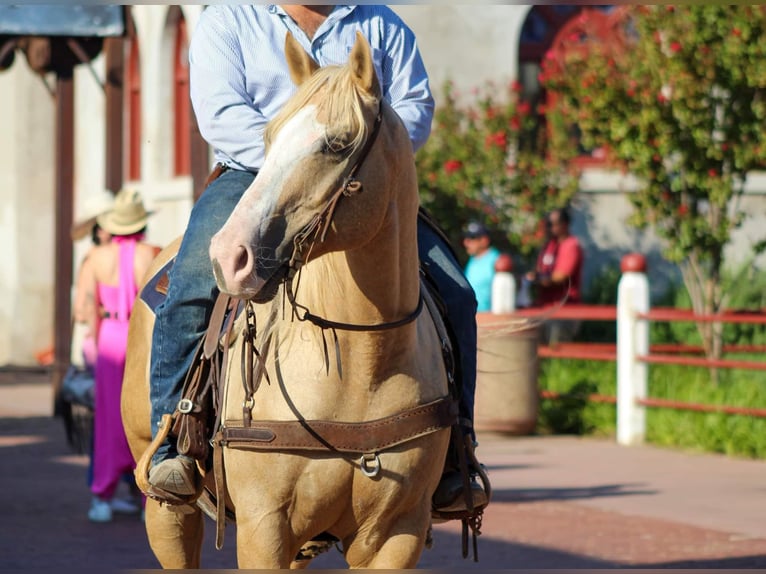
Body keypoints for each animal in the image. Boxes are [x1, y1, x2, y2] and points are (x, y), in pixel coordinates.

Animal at [121, 32, 456, 572]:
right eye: (269, 137)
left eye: (338, 143)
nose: (229, 255)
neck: (360, 363)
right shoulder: (264, 529)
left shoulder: (397, 533)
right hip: (166, 508)